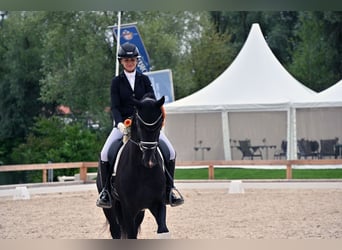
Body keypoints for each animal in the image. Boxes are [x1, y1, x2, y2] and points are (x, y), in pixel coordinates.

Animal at [96, 95, 168, 238]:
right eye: (139, 125)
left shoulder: (158, 204)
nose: (149, 161)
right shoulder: (128, 209)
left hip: (140, 212)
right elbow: (130, 234)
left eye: (159, 125)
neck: (144, 172)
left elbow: (163, 230)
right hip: (111, 208)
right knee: (116, 230)